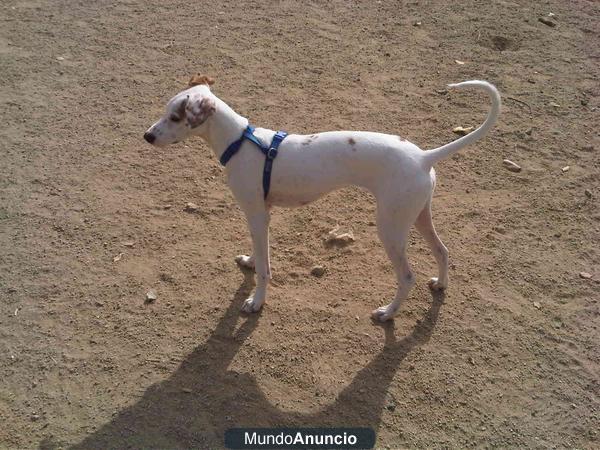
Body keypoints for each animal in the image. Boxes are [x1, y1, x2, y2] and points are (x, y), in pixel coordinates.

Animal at [143, 74, 500, 320]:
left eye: (175, 117)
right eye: (165, 112)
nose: (147, 136)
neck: (240, 142)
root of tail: (425, 157)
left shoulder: (257, 214)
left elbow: (265, 270)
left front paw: (256, 302)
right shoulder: (260, 215)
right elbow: (259, 255)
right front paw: (250, 261)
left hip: (391, 228)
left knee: (407, 277)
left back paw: (387, 313)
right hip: (418, 216)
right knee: (443, 251)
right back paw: (440, 285)